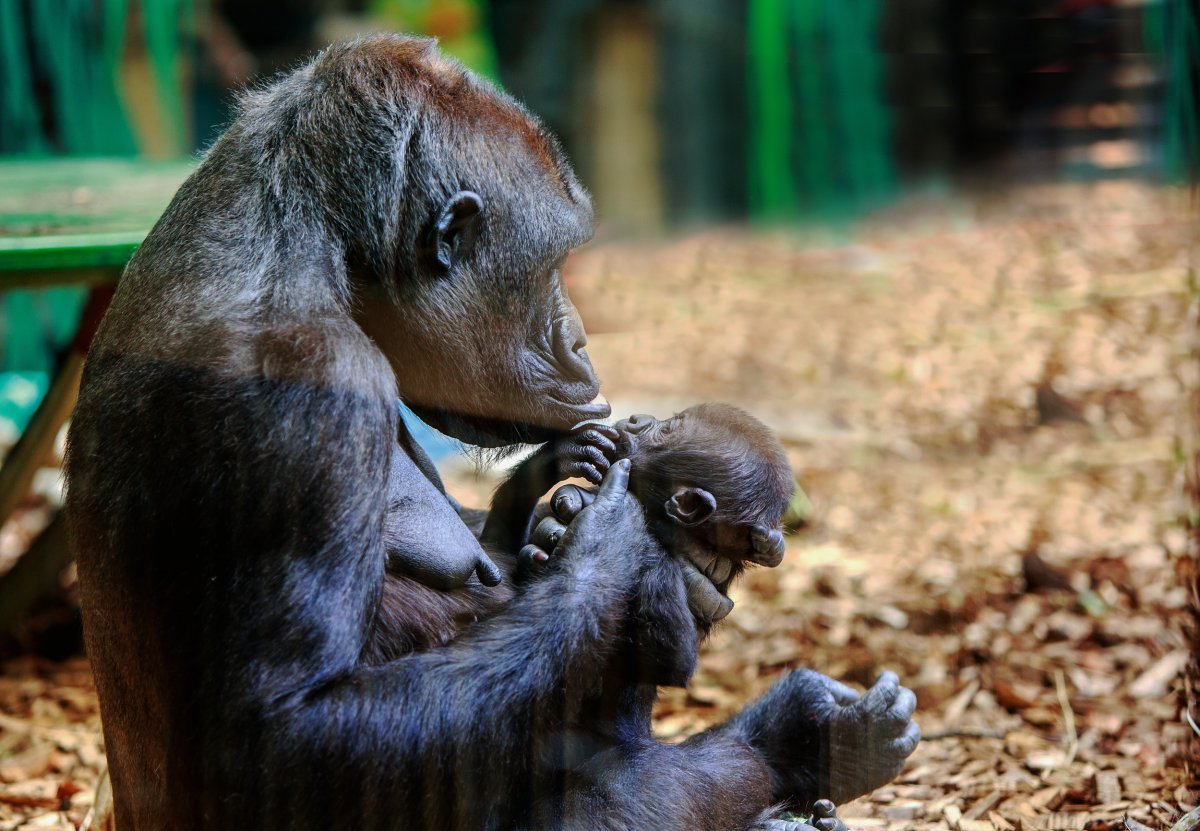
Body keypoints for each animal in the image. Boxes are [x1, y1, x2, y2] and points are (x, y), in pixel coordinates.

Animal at [63, 35, 907, 826]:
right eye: (554, 264)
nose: (581, 339)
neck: (313, 255)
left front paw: (558, 479)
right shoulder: (300, 398)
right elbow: (282, 736)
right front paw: (607, 542)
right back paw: (791, 742)